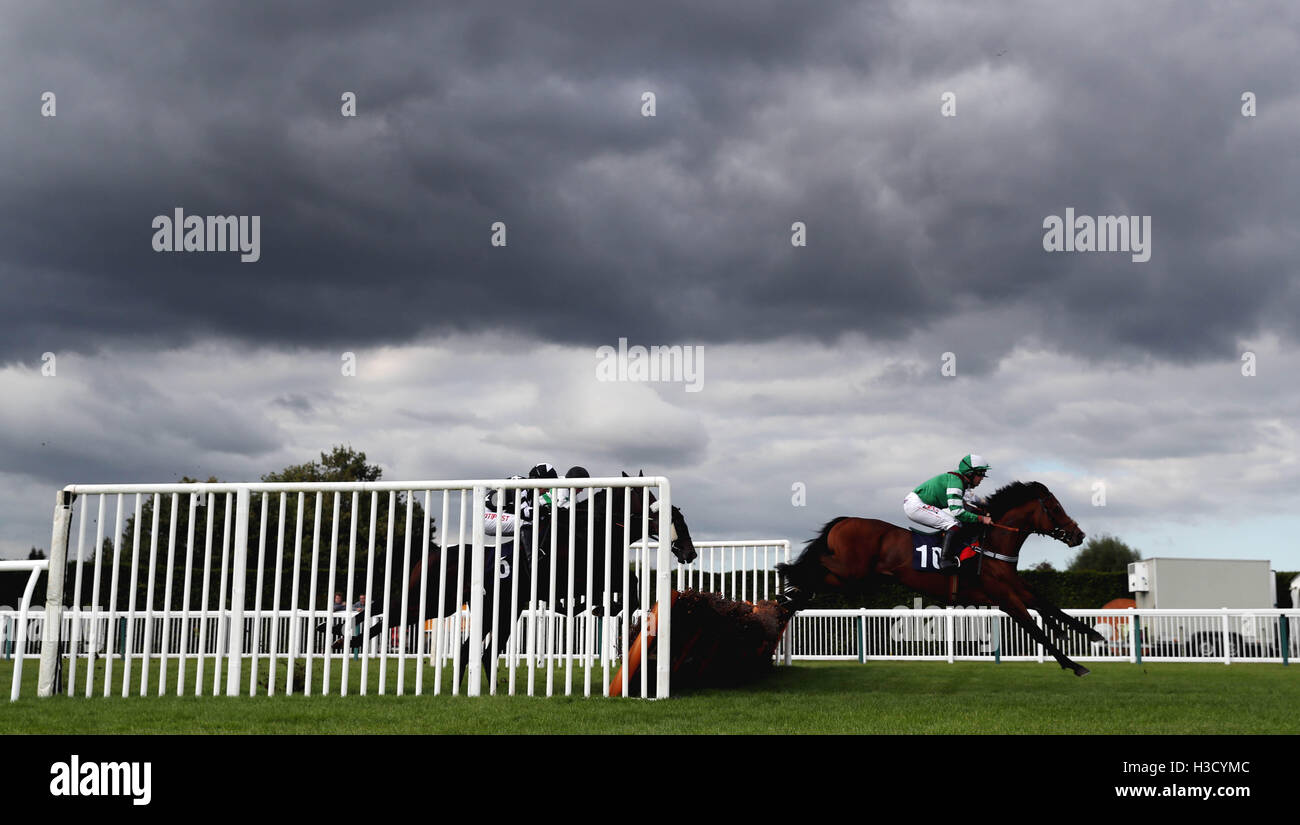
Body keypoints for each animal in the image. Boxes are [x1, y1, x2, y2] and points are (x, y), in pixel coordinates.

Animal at [335, 475, 702, 685]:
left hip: (486, 610)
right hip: (429, 600)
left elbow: (631, 589)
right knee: (386, 613)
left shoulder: (601, 574)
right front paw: (600, 609)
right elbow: (617, 591)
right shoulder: (575, 578)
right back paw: (340, 638)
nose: (689, 552)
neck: (588, 530)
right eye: (668, 514)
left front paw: (609, 613)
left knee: (473, 651)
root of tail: (436, 551)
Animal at [774, 483, 1102, 675]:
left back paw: (792, 595)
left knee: (814, 579)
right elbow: (1035, 629)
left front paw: (1090, 634)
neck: (991, 543)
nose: (1079, 535)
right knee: (814, 566)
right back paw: (786, 580)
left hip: (853, 578)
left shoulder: (1016, 589)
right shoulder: (1005, 598)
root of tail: (843, 521)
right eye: (1056, 508)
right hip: (850, 571)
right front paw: (1073, 664)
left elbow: (1050, 606)